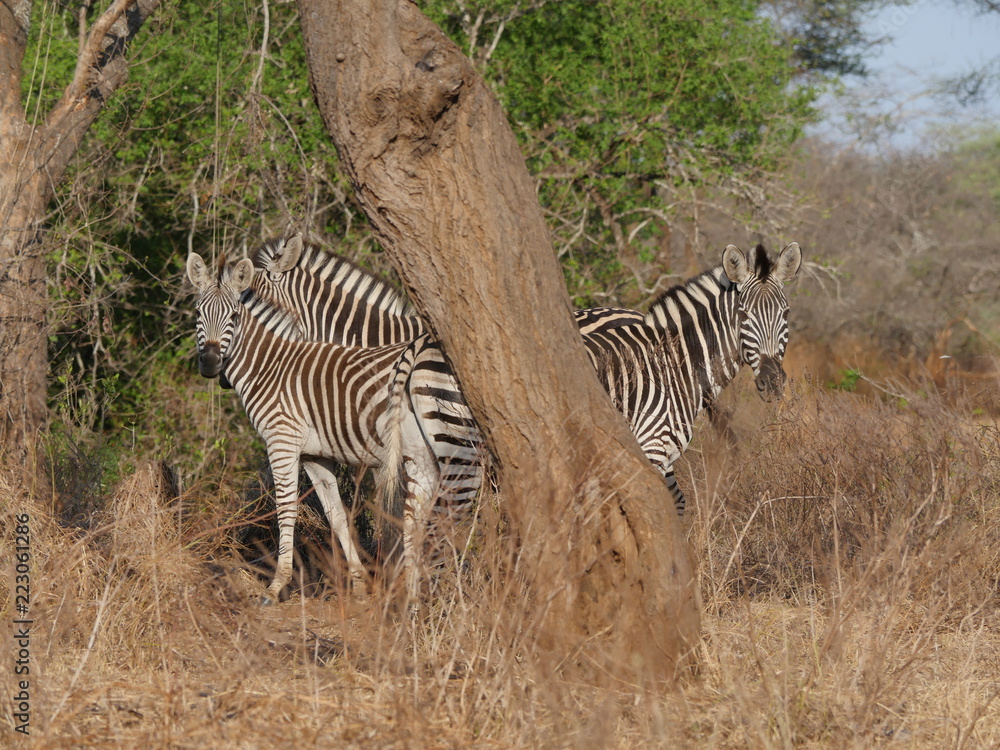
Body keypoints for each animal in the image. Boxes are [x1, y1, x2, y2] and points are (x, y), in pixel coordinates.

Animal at [582, 242, 802, 515]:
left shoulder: (660, 452)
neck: (669, 362)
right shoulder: (649, 447)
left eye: (786, 313)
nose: (772, 383)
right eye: (743, 316)